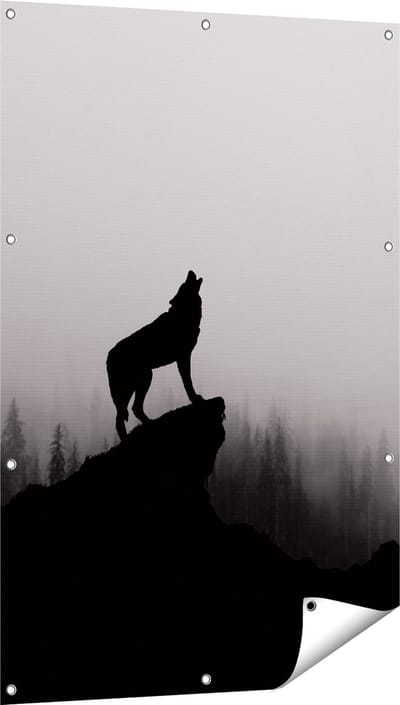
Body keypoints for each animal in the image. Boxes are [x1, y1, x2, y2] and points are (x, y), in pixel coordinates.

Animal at [107, 270, 204, 439]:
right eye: (184, 283)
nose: (190, 271)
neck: (183, 314)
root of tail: (108, 356)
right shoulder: (183, 357)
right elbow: (188, 382)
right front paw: (195, 399)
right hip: (137, 383)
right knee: (122, 417)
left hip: (141, 380)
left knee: (132, 410)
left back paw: (149, 424)